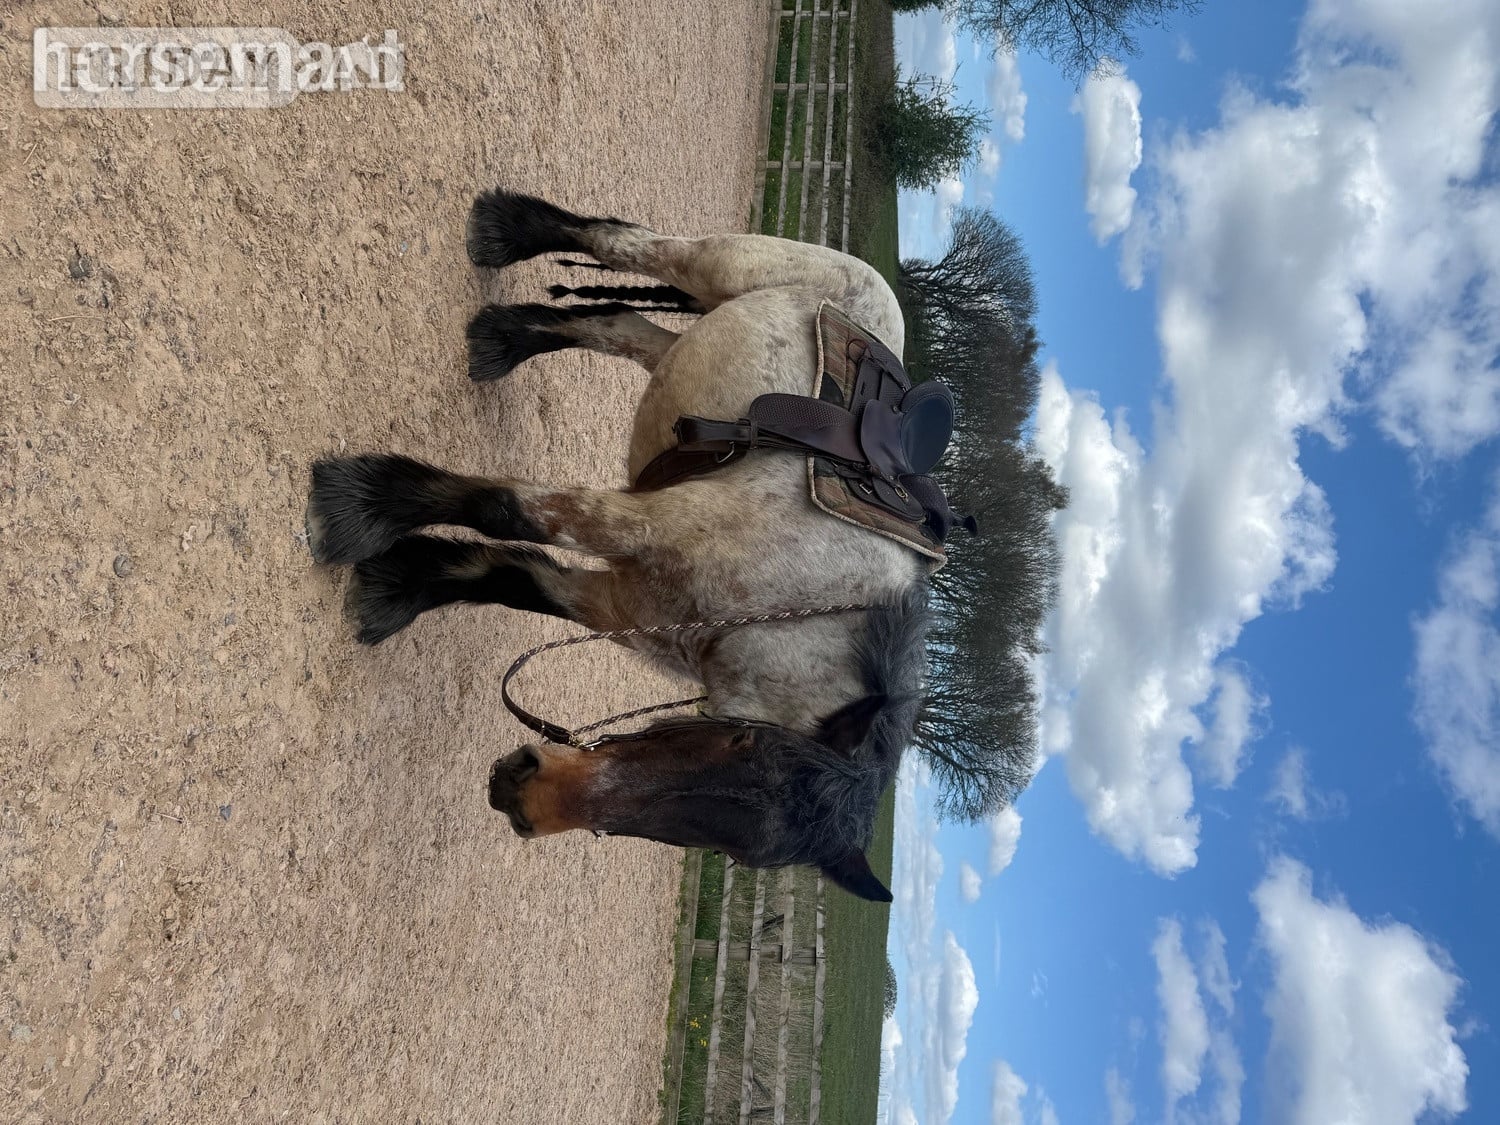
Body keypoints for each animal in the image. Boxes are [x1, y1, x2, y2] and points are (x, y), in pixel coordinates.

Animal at [305, 190, 935, 902]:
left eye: (738, 854)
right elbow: (508, 512)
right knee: (622, 242)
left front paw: (397, 587)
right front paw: (363, 505)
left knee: (619, 326)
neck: (794, 608)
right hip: (715, 266)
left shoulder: (621, 605)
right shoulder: (638, 524)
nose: (523, 795)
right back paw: (508, 229)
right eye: (740, 741)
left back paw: (507, 337)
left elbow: (509, 578)